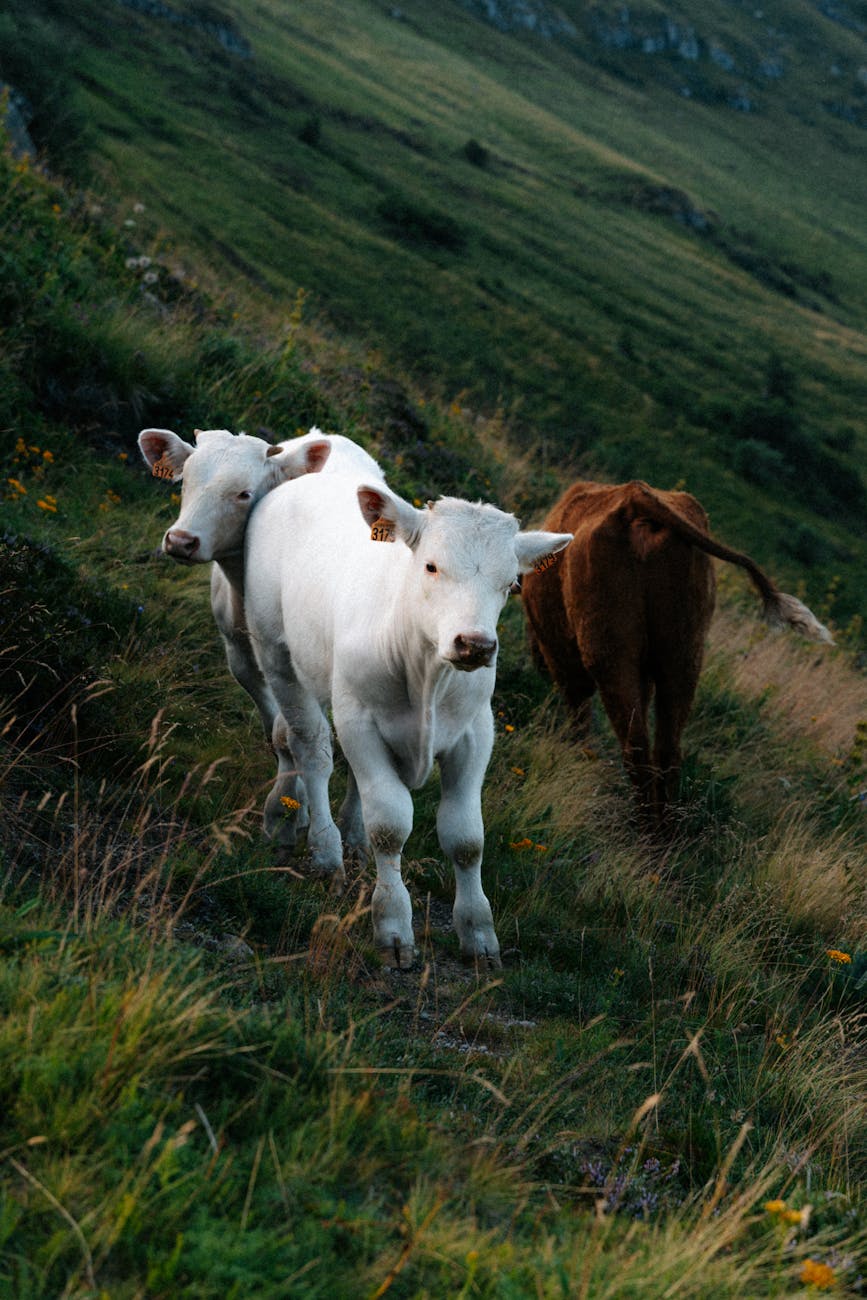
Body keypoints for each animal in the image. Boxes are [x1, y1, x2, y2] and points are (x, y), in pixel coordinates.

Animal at [137, 426, 377, 853]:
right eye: (186, 481)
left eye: (244, 493)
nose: (180, 541)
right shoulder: (240, 654)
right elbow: (278, 732)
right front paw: (292, 811)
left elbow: (295, 734)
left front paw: (287, 815)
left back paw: (355, 827)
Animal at [244, 466, 572, 968]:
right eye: (431, 566)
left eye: (512, 583)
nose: (476, 644)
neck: (427, 673)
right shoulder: (358, 720)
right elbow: (391, 825)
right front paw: (393, 925)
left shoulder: (475, 733)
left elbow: (466, 838)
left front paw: (479, 935)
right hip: (276, 652)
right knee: (309, 749)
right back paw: (317, 843)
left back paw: (349, 840)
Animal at [521, 478, 832, 824]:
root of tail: (635, 498)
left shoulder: (561, 659)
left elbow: (578, 716)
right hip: (683, 653)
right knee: (668, 750)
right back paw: (665, 828)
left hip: (610, 654)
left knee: (636, 746)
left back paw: (648, 827)